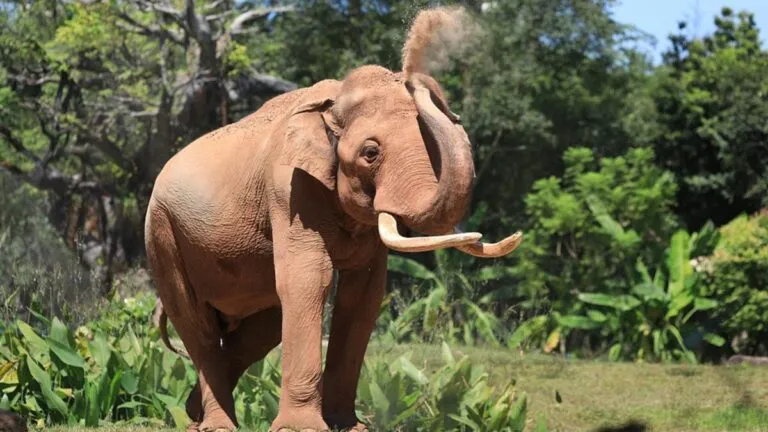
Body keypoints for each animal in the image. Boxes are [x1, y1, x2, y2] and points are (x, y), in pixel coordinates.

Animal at [144, 6, 522, 432]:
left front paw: (350, 427)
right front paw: (302, 429)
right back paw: (215, 424)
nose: (414, 69)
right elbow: (310, 279)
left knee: (260, 329)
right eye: (370, 153)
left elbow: (365, 293)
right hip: (161, 235)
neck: (331, 102)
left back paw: (193, 415)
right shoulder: (289, 189)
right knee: (197, 324)